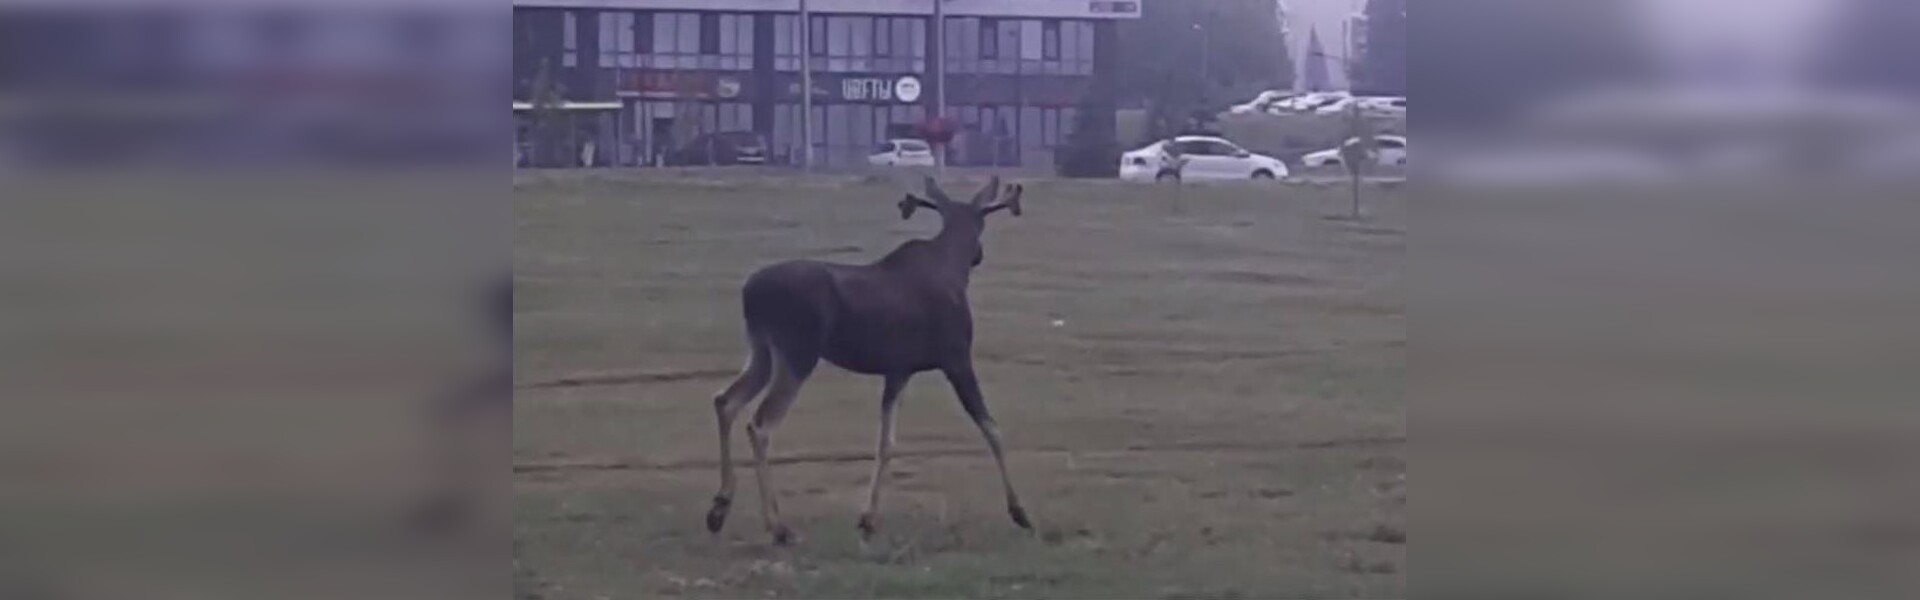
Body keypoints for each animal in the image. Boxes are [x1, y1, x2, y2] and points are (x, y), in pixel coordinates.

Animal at [706, 175, 1036, 546]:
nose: (978, 255)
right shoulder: (956, 358)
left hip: (761, 350)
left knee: (725, 400)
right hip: (797, 353)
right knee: (760, 424)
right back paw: (777, 526)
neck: (955, 266)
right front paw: (1020, 511)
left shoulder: (898, 370)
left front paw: (868, 519)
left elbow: (886, 442)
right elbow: (991, 427)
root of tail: (748, 292)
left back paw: (720, 506)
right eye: (981, 224)